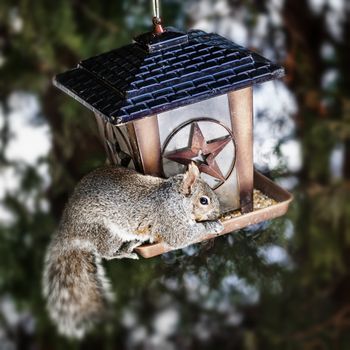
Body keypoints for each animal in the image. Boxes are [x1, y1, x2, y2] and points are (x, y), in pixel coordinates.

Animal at [42, 163, 223, 340]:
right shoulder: (168, 221)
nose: (219, 212)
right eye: (204, 200)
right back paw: (126, 251)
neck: (174, 199)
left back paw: (134, 242)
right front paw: (212, 225)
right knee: (105, 253)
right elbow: (182, 237)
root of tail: (68, 228)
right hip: (106, 232)